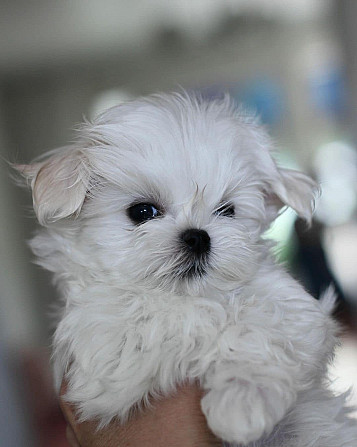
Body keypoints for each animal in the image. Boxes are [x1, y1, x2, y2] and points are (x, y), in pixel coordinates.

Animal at [17, 93, 356, 446]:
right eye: (142, 212)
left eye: (227, 210)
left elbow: (260, 324)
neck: (187, 295)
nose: (197, 237)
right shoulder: (106, 350)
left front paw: (241, 401)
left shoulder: (297, 312)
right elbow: (186, 325)